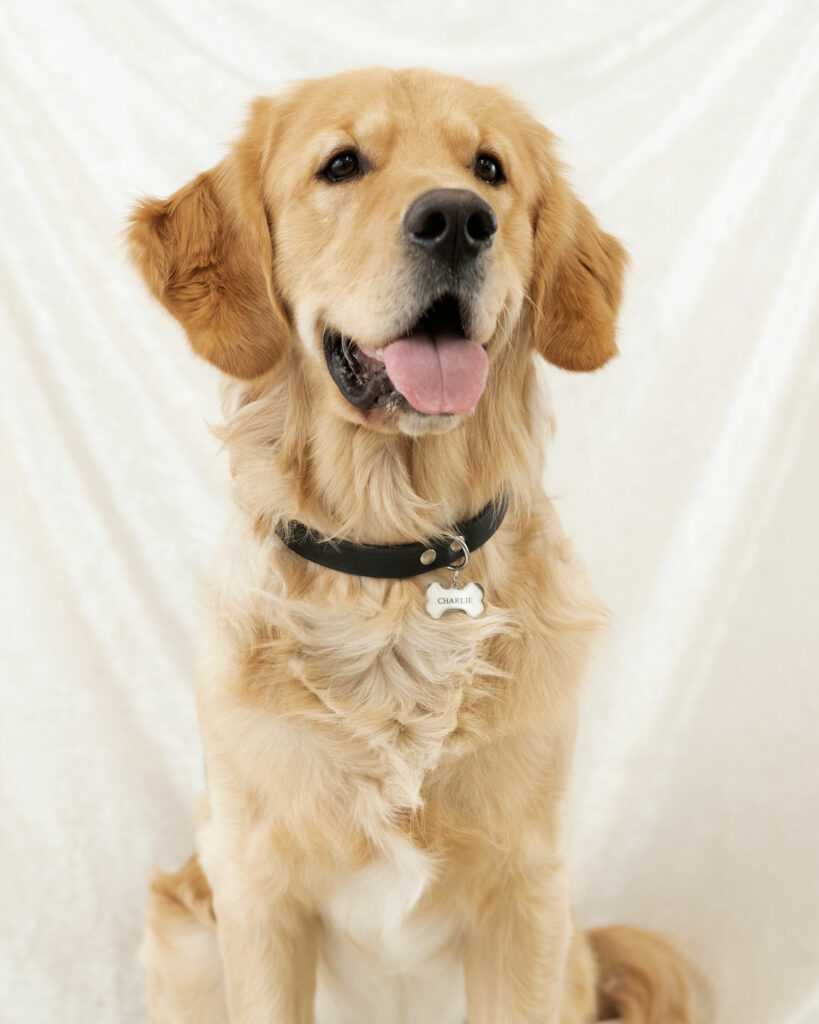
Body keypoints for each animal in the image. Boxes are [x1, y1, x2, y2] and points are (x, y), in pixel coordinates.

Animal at [129, 68, 708, 1019]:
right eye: (340, 165)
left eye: (489, 169)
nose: (457, 218)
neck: (393, 566)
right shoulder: (256, 893)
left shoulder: (527, 893)